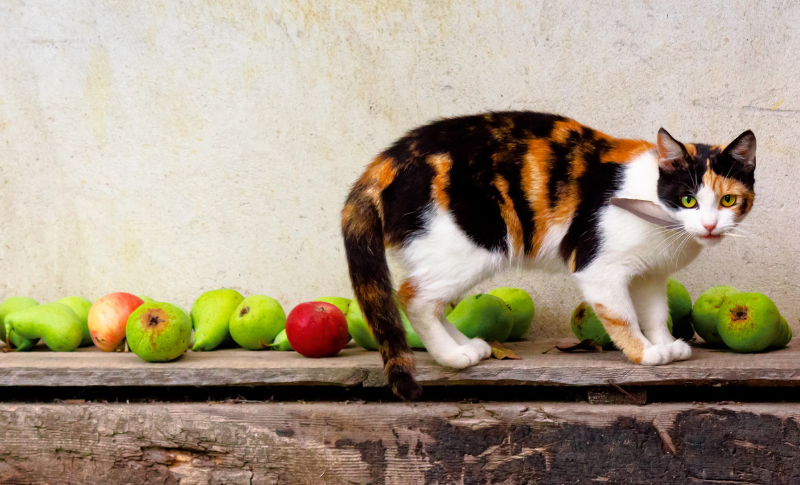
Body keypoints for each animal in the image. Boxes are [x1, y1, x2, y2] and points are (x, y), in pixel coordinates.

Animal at [342, 111, 756, 398]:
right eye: (688, 200)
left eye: (728, 200)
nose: (709, 226)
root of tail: (386, 161)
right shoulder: (598, 266)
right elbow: (622, 315)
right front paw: (644, 353)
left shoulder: (651, 274)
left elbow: (655, 312)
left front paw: (664, 343)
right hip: (471, 244)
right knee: (414, 296)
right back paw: (450, 355)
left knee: (434, 300)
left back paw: (465, 346)